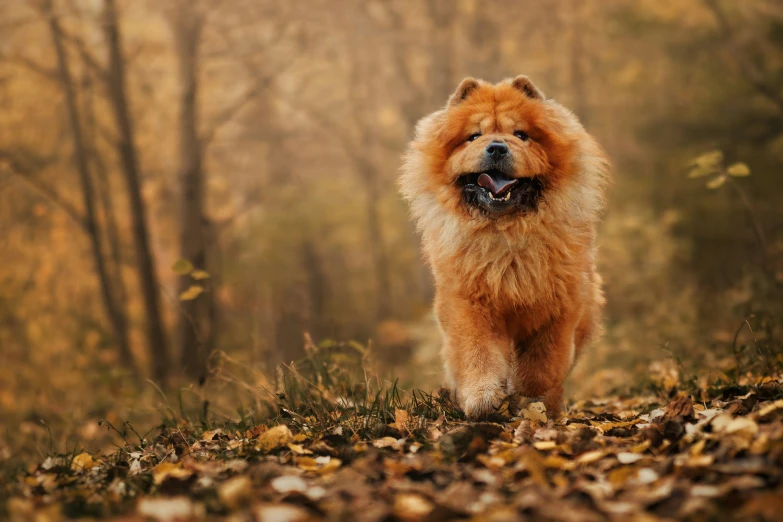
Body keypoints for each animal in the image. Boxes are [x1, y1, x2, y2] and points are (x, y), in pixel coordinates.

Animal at [402, 75, 608, 418]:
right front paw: (482, 397)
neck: (505, 234)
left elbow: (543, 365)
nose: (497, 147)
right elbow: (477, 352)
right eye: (474, 136)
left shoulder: (559, 305)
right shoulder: (468, 300)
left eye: (521, 135)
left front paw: (527, 394)